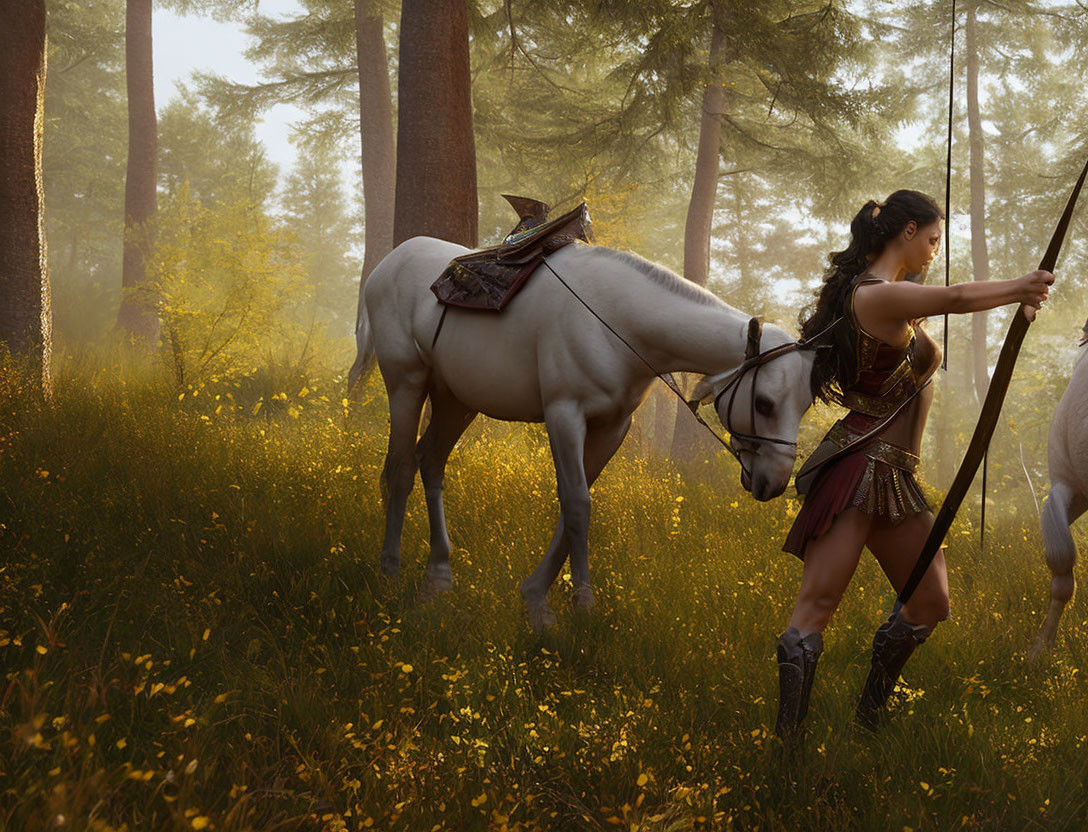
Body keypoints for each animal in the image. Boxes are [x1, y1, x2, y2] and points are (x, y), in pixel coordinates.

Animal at [352, 237, 813, 626]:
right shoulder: (564, 414)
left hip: (456, 401)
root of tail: (388, 263)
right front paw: (571, 606)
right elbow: (576, 504)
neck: (619, 320)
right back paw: (390, 569)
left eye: (804, 405)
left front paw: (535, 593)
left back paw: (439, 575)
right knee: (400, 469)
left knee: (430, 461)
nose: (775, 482)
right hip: (407, 384)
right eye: (764, 403)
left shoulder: (612, 428)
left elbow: (576, 506)